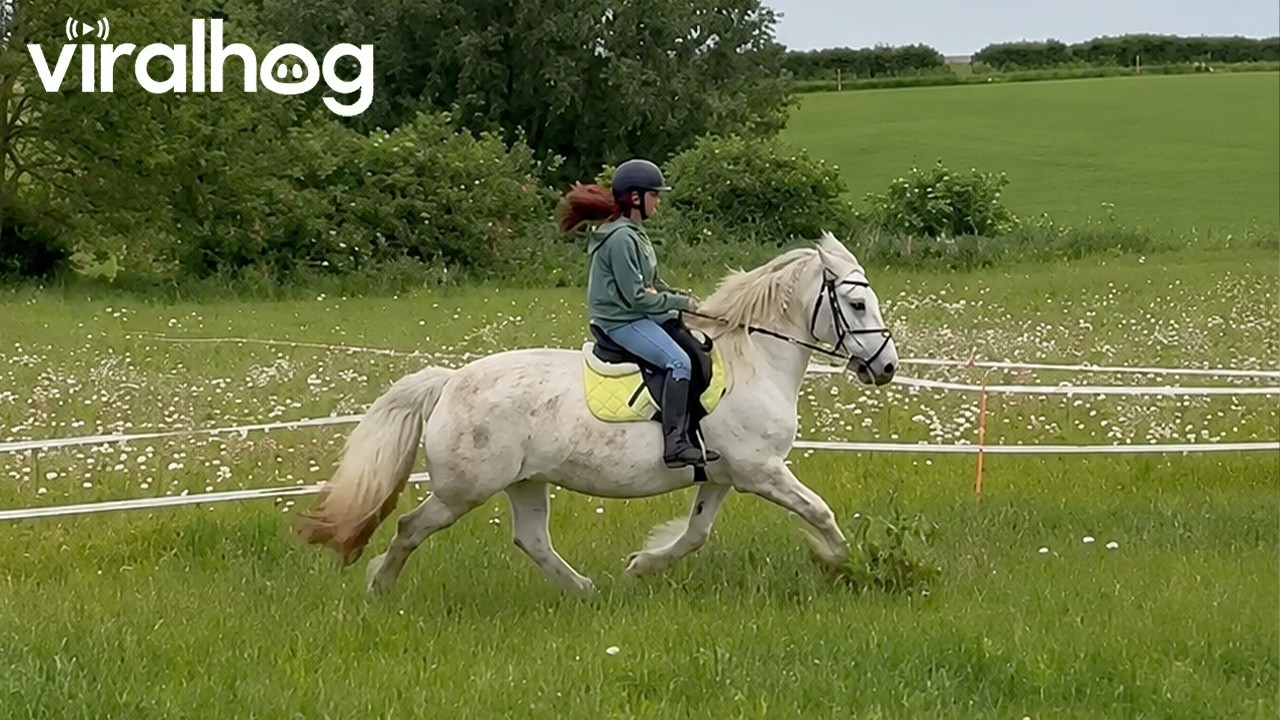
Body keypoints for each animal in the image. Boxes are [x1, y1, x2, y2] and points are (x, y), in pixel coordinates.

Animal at [293, 231, 899, 595]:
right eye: (857, 304)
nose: (887, 367)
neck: (754, 361)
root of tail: (450, 382)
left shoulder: (723, 476)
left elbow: (696, 534)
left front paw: (642, 566)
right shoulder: (761, 471)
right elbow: (820, 511)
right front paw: (844, 564)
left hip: (526, 482)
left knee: (531, 539)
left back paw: (585, 590)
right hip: (465, 489)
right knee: (409, 527)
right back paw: (379, 586)